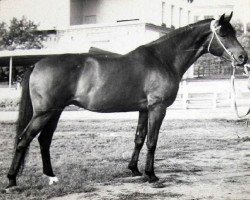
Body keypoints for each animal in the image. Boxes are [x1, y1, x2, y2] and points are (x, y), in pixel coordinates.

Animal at [5, 12, 248, 189]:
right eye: (223, 34)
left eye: (234, 32)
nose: (243, 58)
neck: (163, 59)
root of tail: (37, 63)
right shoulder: (157, 108)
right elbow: (152, 141)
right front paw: (151, 175)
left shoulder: (144, 109)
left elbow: (139, 138)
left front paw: (134, 170)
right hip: (44, 112)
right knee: (24, 139)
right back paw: (11, 181)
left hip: (55, 111)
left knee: (44, 140)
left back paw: (51, 176)